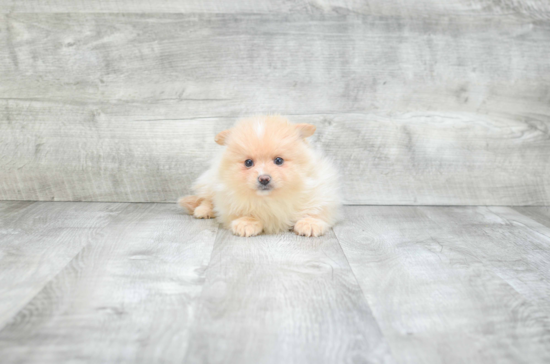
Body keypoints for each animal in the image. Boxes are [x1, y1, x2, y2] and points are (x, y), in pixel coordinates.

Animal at [179, 115, 340, 237]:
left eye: (279, 160)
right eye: (248, 162)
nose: (264, 179)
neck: (270, 199)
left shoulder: (320, 190)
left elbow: (316, 209)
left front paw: (310, 223)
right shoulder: (228, 198)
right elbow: (243, 211)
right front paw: (246, 223)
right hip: (210, 181)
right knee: (206, 198)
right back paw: (203, 211)